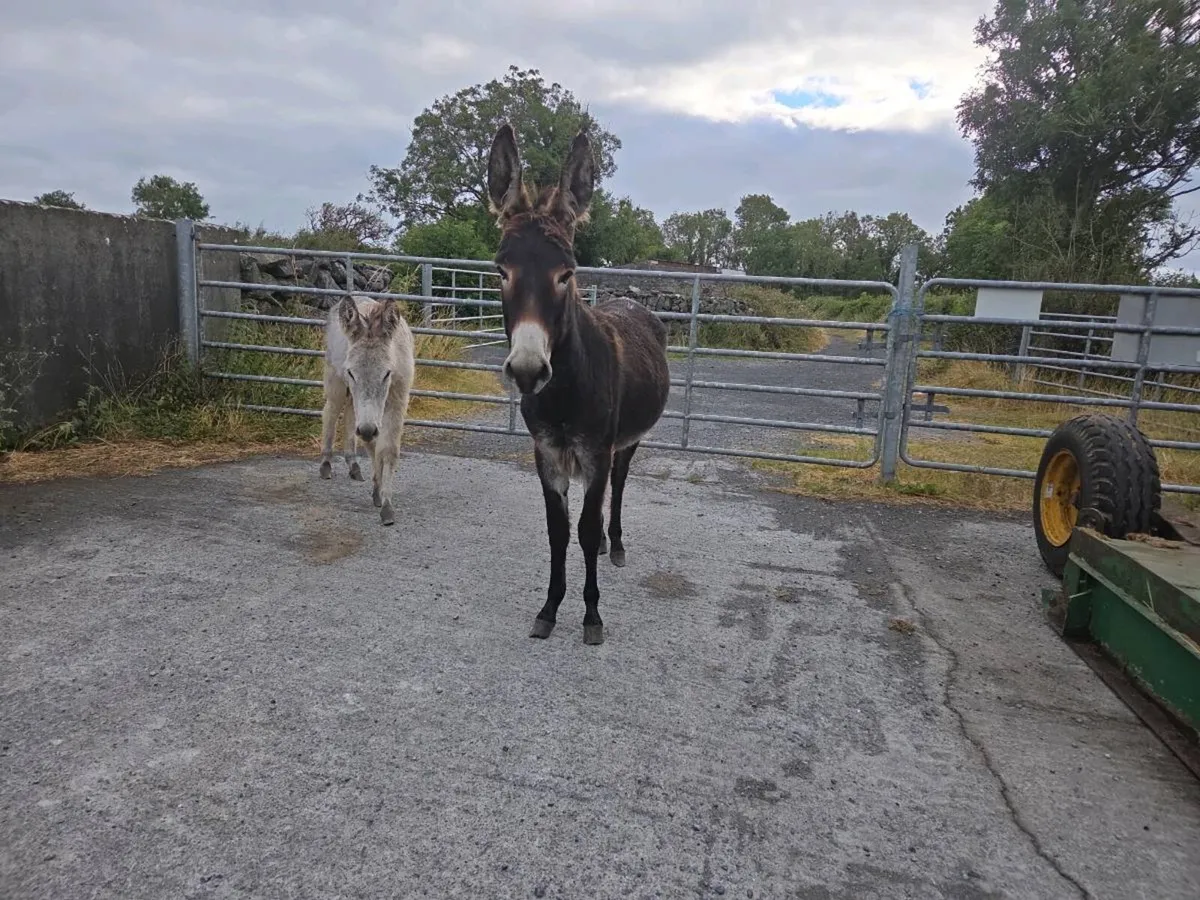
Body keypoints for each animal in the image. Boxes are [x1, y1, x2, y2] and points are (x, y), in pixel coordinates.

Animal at [319, 294, 416, 527]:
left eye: (387, 373)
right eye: (352, 372)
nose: (367, 429)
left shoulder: (398, 399)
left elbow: (387, 449)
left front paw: (385, 503)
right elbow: (372, 445)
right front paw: (379, 491)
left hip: (354, 399)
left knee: (349, 417)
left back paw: (353, 463)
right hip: (336, 382)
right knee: (331, 413)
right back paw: (326, 463)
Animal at [486, 122, 672, 645]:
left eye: (566, 272)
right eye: (501, 270)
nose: (529, 370)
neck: (564, 394)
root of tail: (630, 302)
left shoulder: (595, 451)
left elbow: (586, 530)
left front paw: (591, 615)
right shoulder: (547, 453)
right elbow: (558, 531)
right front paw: (549, 608)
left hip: (625, 441)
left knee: (620, 484)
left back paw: (617, 543)